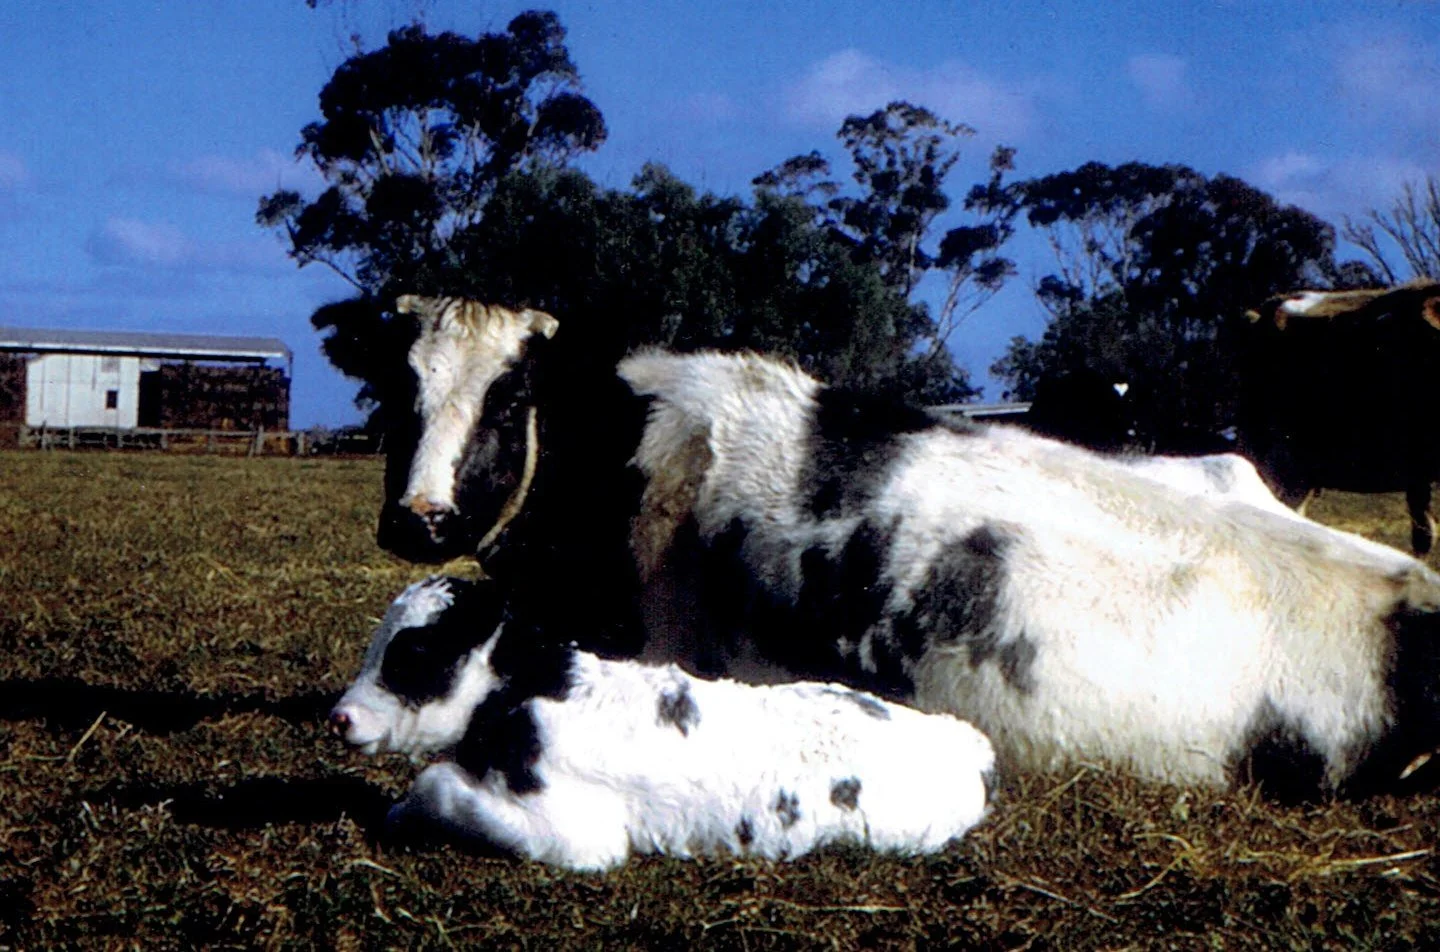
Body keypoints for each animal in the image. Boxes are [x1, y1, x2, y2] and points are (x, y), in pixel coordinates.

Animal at [329, 576, 996, 869]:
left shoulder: (577, 837)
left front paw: (398, 814)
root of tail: (965, 744)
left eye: (414, 653)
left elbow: (436, 784)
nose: (341, 717)